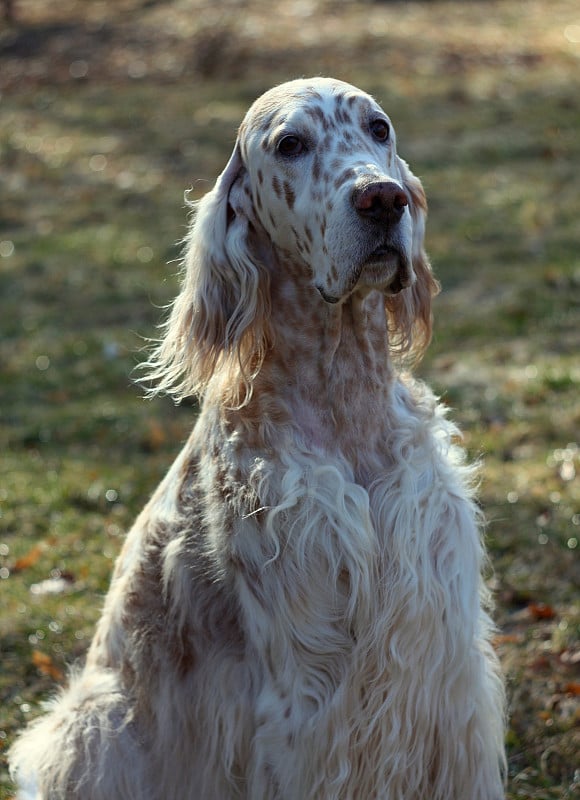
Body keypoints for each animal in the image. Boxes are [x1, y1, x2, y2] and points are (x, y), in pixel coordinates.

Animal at [11, 76, 506, 800]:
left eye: (379, 129)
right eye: (291, 144)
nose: (383, 198)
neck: (341, 397)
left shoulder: (444, 668)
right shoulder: (304, 693)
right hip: (99, 725)